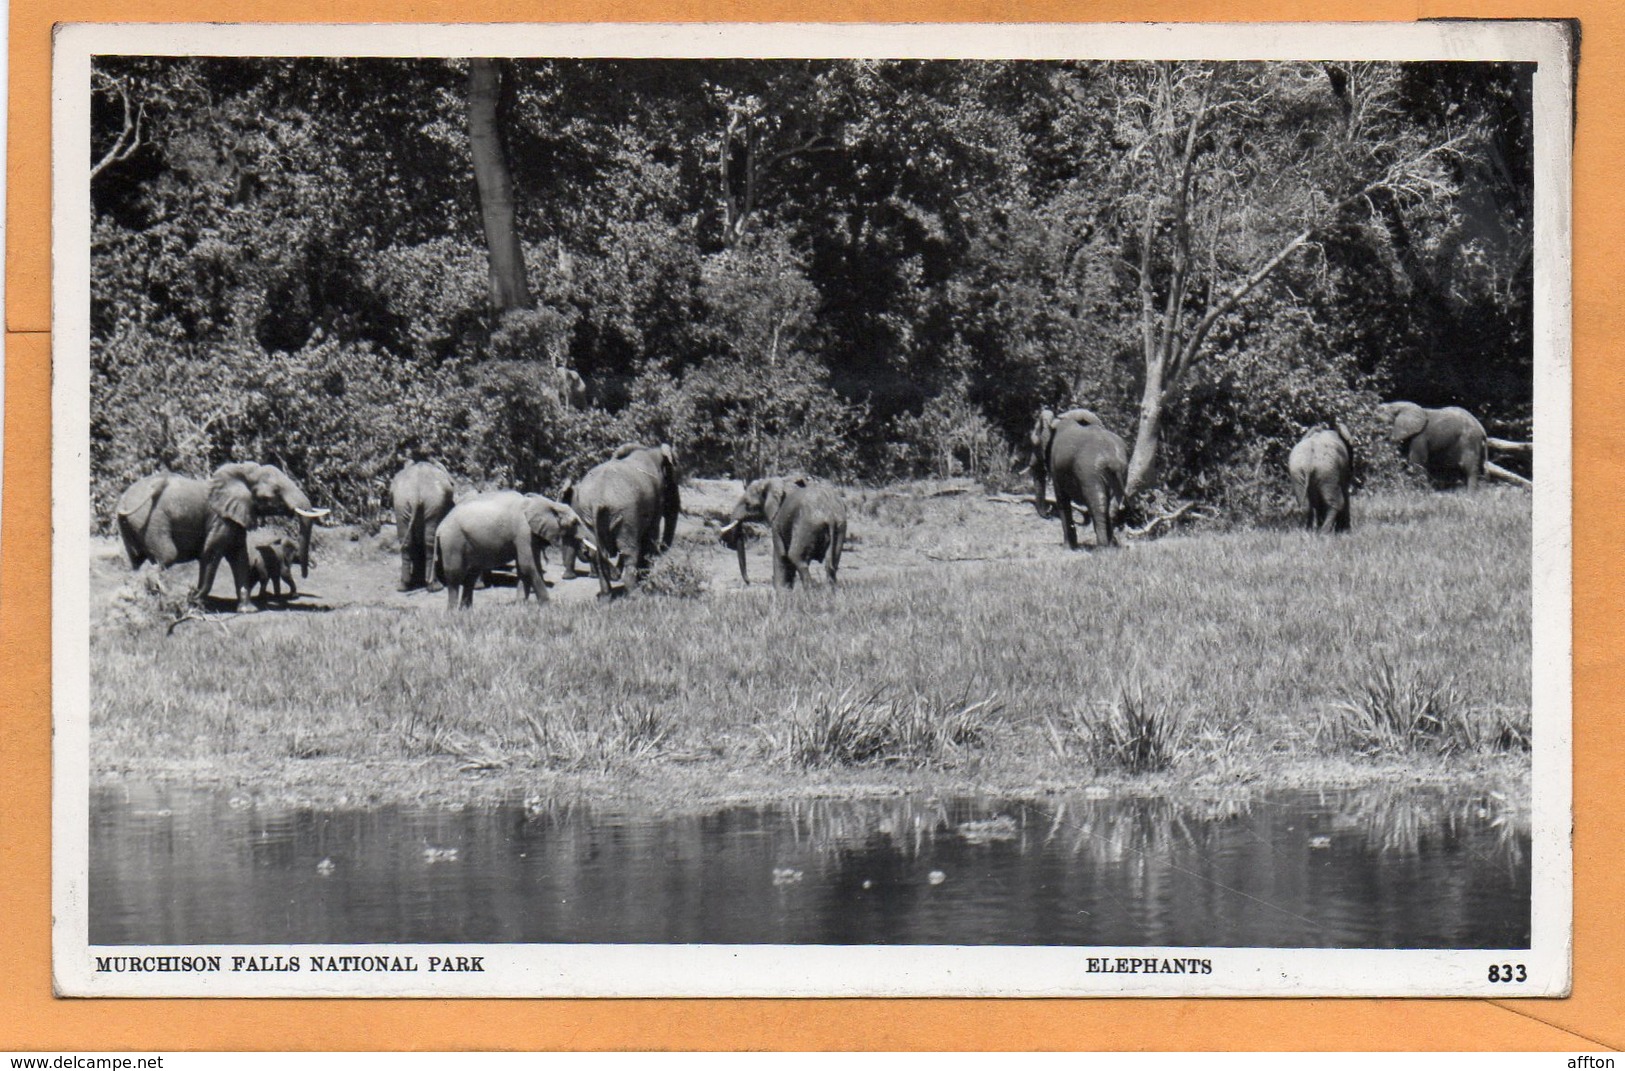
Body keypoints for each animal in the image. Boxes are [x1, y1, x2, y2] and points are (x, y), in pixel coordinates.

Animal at [115, 464, 329, 614]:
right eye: (274, 492)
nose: (306, 574)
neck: (242, 473)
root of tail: (123, 501)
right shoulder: (220, 519)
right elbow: (211, 553)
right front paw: (195, 600)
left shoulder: (235, 517)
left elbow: (239, 556)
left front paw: (247, 610)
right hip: (152, 520)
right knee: (167, 556)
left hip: (130, 525)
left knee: (136, 562)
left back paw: (136, 598)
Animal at [385, 461, 451, 594]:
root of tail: (415, 494)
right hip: (429, 502)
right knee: (429, 541)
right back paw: (435, 587)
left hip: (403, 503)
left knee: (407, 541)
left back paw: (404, 586)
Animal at [432, 490, 591, 611]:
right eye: (574, 523)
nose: (586, 551)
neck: (548, 504)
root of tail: (440, 527)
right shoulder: (523, 532)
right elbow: (528, 565)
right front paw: (548, 606)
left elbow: (523, 568)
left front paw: (520, 605)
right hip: (452, 541)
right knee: (454, 576)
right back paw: (453, 613)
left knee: (471, 575)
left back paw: (467, 611)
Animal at [565, 442, 679, 598]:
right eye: (673, 480)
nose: (661, 549)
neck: (649, 450)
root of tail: (596, 501)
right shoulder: (656, 498)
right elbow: (650, 536)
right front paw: (645, 580)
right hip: (625, 514)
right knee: (629, 552)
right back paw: (635, 594)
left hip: (586, 515)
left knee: (597, 553)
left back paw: (606, 596)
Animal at [1033, 406, 1124, 549]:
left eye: (1033, 443)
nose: (1048, 513)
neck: (1056, 421)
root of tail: (1113, 459)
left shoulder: (1055, 466)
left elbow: (1062, 499)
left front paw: (1067, 547)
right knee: (1111, 505)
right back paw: (1112, 546)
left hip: (1089, 472)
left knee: (1097, 505)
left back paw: (1101, 548)